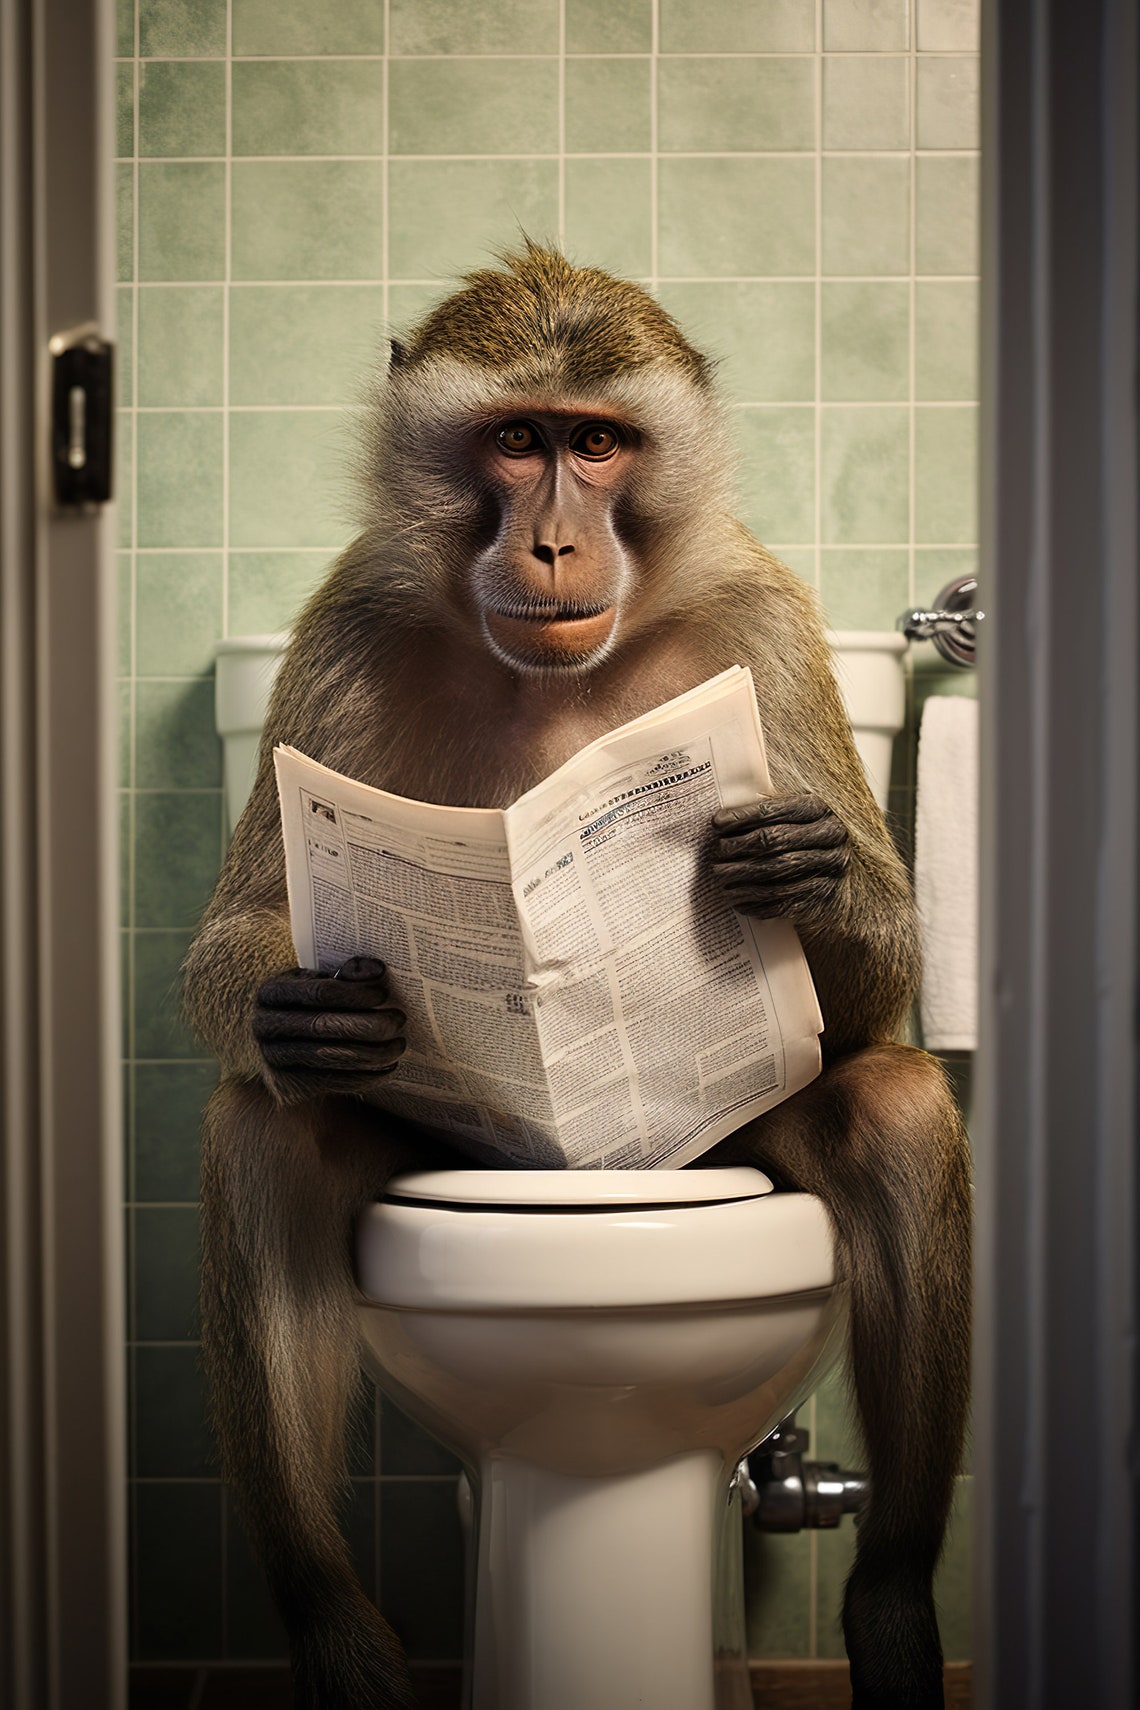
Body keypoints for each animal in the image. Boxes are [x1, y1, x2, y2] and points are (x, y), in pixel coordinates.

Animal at [182, 243, 971, 1710]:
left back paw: (894, 1607)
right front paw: (304, 1011)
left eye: (597, 443)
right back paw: (333, 1629)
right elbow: (245, 926)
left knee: (889, 1108)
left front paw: (808, 872)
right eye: (516, 439)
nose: (552, 539)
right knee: (268, 1136)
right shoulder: (348, 618)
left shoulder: (766, 621)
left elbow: (875, 988)